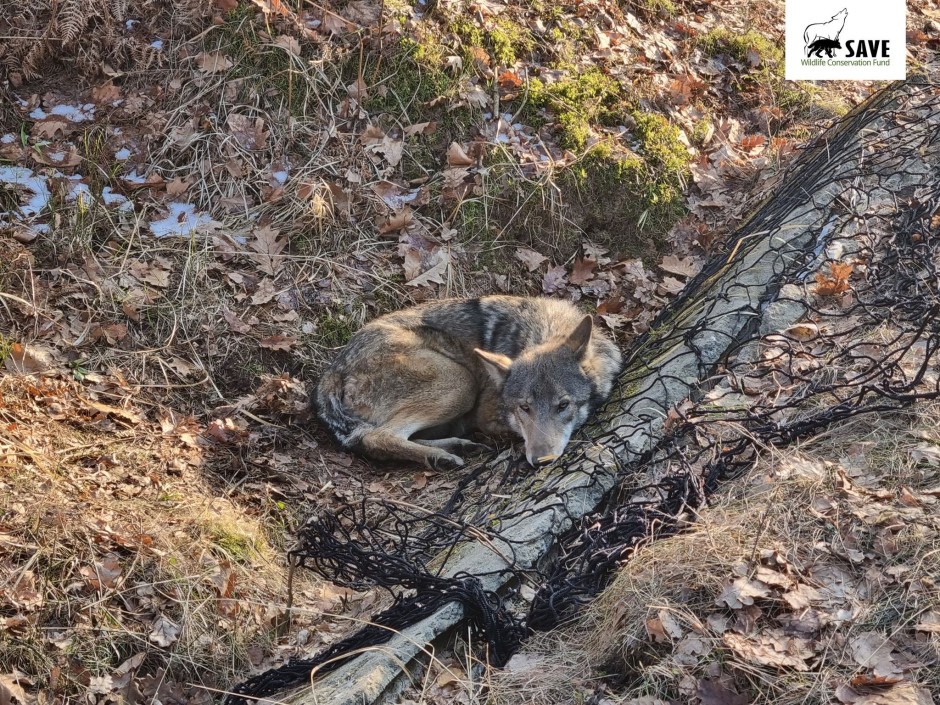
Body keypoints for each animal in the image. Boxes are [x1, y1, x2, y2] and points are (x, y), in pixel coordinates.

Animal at [316, 296, 624, 468]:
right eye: (524, 408)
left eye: (563, 405)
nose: (541, 461)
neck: (542, 330)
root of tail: (334, 369)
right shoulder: (486, 415)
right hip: (461, 383)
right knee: (378, 436)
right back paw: (440, 457)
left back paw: (456, 446)